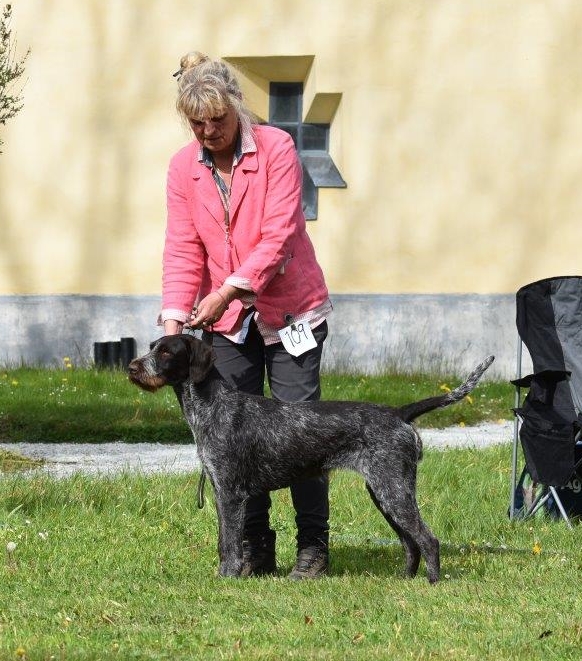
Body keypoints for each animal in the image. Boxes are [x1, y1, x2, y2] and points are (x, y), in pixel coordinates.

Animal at [128, 336, 492, 584]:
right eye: (151, 347)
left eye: (166, 352)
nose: (132, 367)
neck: (211, 406)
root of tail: (398, 412)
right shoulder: (221, 491)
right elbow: (224, 541)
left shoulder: (230, 494)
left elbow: (229, 544)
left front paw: (227, 579)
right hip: (384, 491)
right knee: (410, 542)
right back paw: (404, 579)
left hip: (393, 490)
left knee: (427, 539)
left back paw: (432, 583)